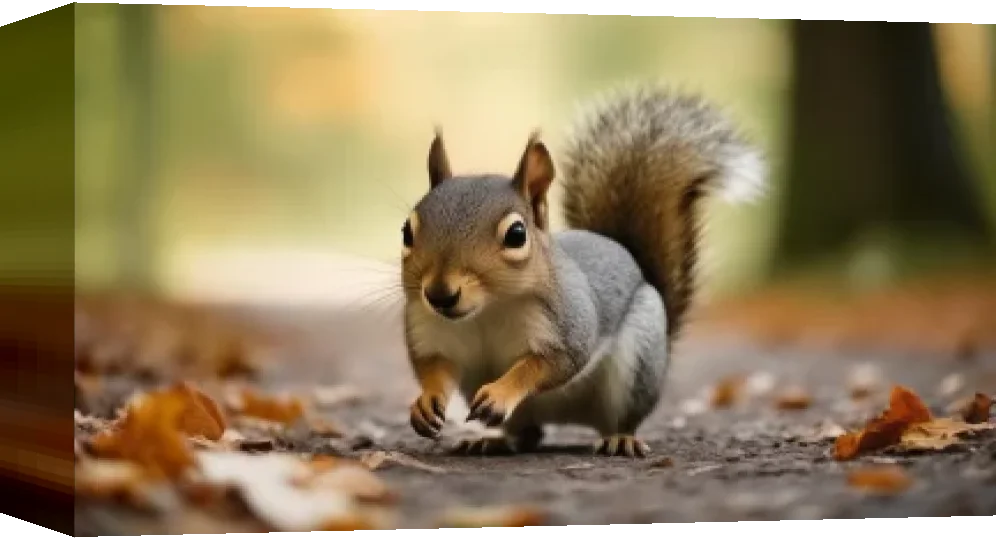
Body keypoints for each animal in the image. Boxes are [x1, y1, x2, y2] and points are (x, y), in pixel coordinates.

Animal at [400, 83, 765, 457]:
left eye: (516, 235)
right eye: (406, 232)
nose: (439, 294)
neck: (488, 309)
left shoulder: (569, 322)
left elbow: (551, 363)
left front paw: (501, 392)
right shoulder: (431, 330)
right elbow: (435, 366)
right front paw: (426, 401)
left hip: (638, 363)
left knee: (620, 418)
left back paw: (621, 439)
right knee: (529, 433)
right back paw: (493, 440)